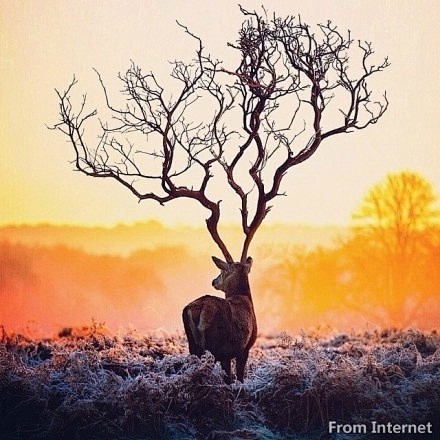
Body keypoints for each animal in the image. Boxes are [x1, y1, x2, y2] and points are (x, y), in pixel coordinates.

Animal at [182, 256, 258, 384]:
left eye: (222, 272)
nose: (214, 281)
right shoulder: (244, 349)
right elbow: (238, 377)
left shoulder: (226, 355)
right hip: (213, 345)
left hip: (192, 344)